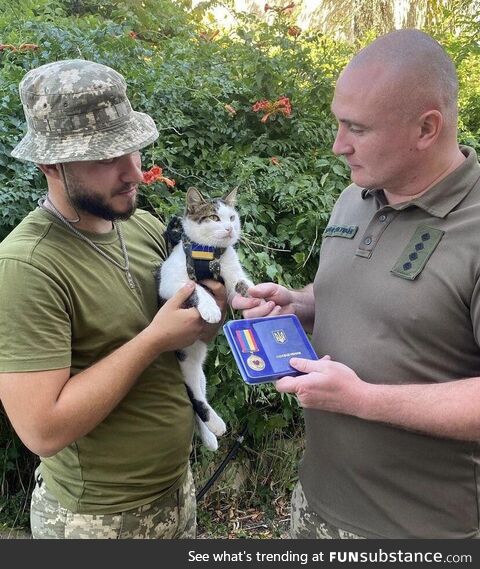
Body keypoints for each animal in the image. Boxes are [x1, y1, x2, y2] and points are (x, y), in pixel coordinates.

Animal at [158, 185, 255, 448]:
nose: (231, 228)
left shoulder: (231, 271)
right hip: (184, 364)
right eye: (214, 217)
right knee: (194, 398)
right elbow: (195, 288)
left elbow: (242, 285)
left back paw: (210, 436)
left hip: (200, 371)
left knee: (198, 394)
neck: (208, 254)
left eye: (232, 217)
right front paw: (211, 309)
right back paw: (216, 425)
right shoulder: (169, 282)